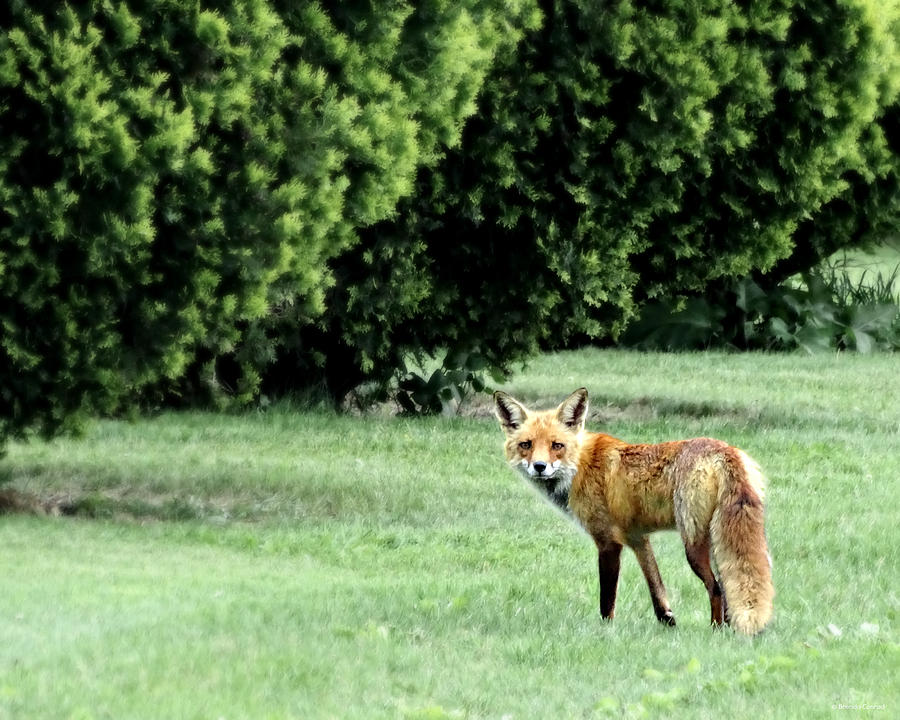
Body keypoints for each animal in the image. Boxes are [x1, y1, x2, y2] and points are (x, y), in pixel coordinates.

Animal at [492, 388, 772, 636]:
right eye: (526, 444)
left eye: (556, 445)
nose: (539, 467)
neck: (580, 466)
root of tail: (724, 450)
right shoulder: (638, 538)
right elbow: (657, 588)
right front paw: (668, 623)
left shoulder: (608, 542)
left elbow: (607, 600)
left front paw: (605, 632)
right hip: (718, 541)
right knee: (728, 587)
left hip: (693, 543)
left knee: (717, 589)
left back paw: (716, 632)